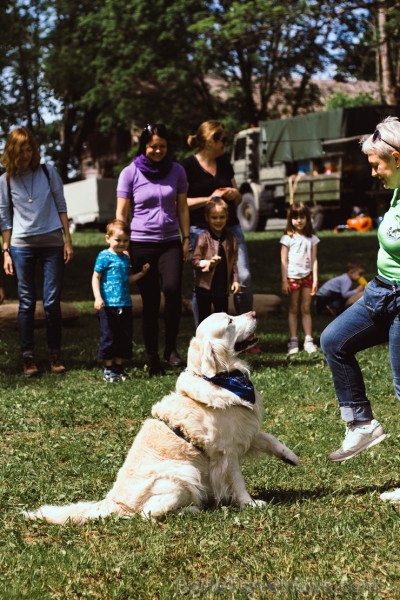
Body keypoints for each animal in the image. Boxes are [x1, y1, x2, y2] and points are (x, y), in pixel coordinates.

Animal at [25, 312, 298, 524]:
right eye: (230, 321)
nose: (254, 312)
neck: (224, 378)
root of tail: (114, 501)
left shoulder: (242, 428)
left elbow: (268, 438)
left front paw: (290, 456)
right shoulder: (225, 451)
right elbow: (238, 481)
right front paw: (250, 503)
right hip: (184, 472)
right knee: (148, 514)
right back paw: (192, 510)